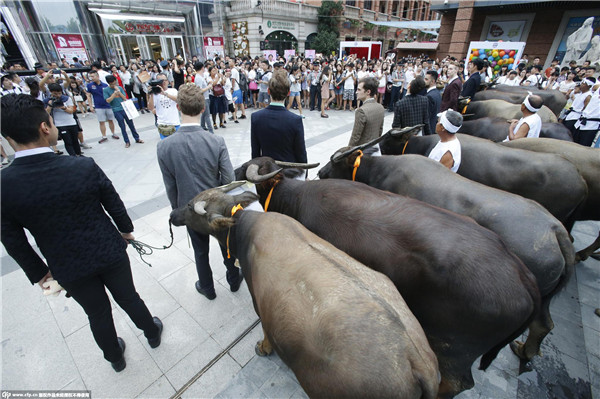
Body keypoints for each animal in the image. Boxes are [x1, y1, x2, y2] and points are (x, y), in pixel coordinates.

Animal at [169, 184, 440, 399]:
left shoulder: (260, 304)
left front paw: (263, 348)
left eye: (190, 205)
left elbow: (265, 330)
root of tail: (417, 361)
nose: (172, 213)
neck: (243, 229)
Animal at [234, 158, 540, 398]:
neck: (295, 197)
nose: (234, 171)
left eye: (248, 166)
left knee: (458, 383)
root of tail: (521, 273)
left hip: (455, 350)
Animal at [318, 152, 576, 366]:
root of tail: (556, 230)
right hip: (545, 299)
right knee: (544, 324)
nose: (320, 172)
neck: (382, 170)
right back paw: (525, 351)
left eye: (335, 163)